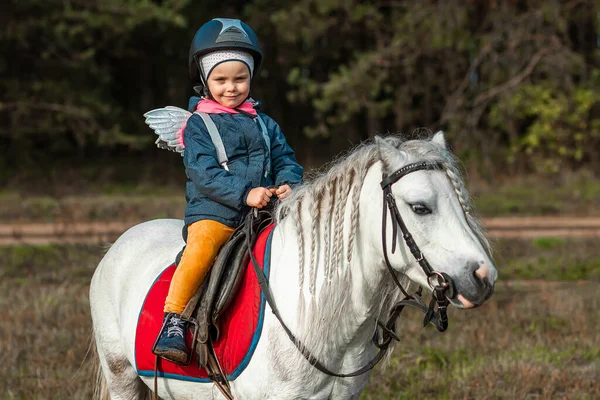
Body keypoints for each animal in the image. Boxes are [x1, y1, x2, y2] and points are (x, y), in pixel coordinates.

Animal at [90, 134, 496, 400]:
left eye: (462, 203)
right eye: (420, 207)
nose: (483, 278)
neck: (316, 313)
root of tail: (118, 245)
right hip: (121, 376)